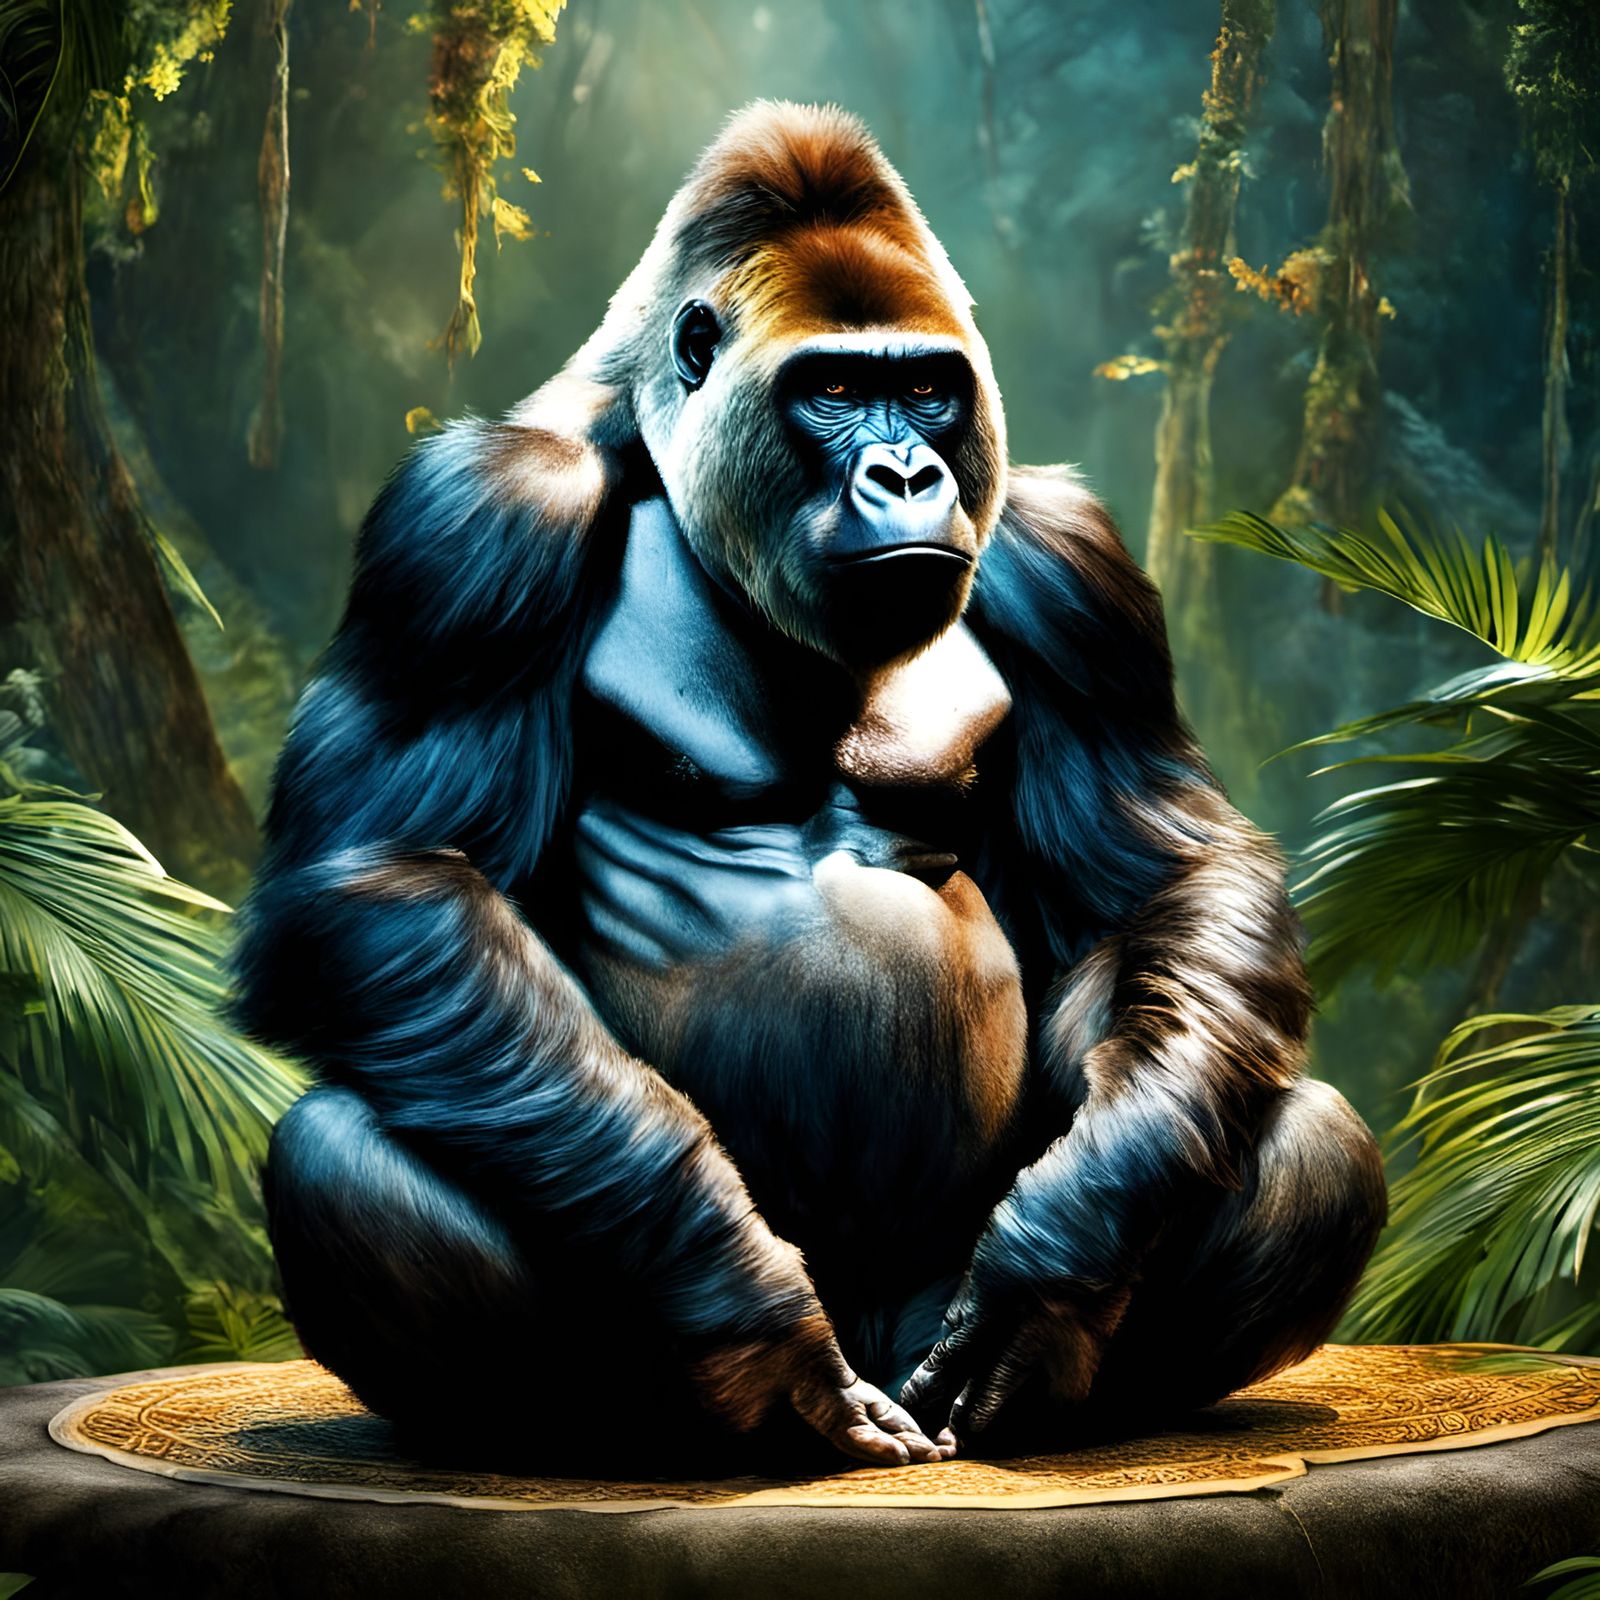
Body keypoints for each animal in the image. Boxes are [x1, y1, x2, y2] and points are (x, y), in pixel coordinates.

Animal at [235, 101, 1386, 1474]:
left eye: (926, 389)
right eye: (834, 389)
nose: (906, 474)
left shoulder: (1071, 560)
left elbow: (1166, 875)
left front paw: (1055, 1258)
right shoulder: (472, 522)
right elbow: (386, 873)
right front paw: (741, 1299)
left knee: (1309, 1134)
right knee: (337, 1153)